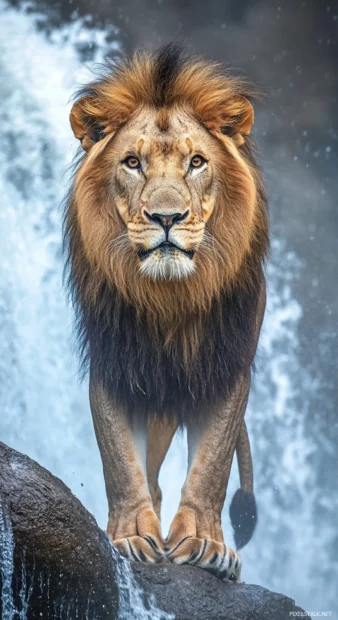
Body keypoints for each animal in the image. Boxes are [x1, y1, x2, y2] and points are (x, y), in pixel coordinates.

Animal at [63, 43, 268, 580]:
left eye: (196, 162)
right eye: (132, 162)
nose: (167, 217)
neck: (170, 299)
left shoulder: (227, 367)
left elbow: (212, 465)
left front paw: (205, 543)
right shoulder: (113, 362)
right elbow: (120, 461)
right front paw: (132, 535)